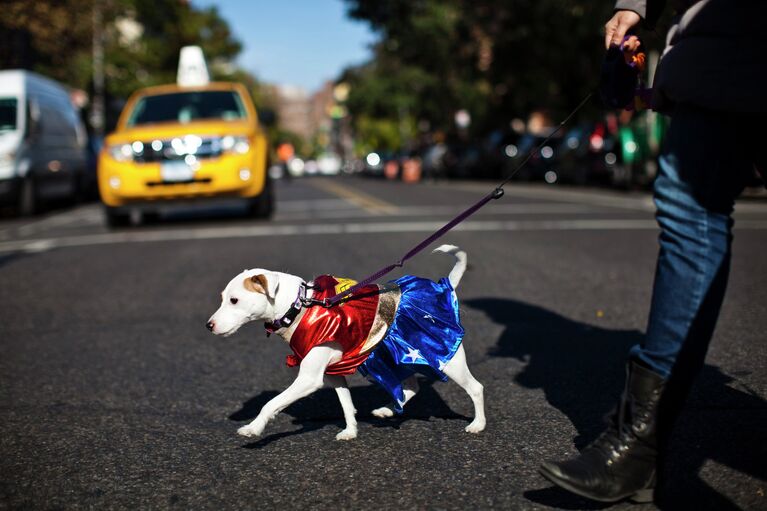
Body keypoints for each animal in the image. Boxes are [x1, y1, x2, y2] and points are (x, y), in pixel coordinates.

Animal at [206, 244, 486, 440]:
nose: (209, 326)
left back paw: (478, 424)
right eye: (222, 298)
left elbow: (270, 404)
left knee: (476, 388)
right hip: (393, 356)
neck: (300, 307)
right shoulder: (333, 374)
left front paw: (253, 428)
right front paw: (351, 431)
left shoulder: (309, 379)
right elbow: (346, 403)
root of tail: (445, 287)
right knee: (410, 386)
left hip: (448, 361)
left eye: (234, 300)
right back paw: (387, 409)